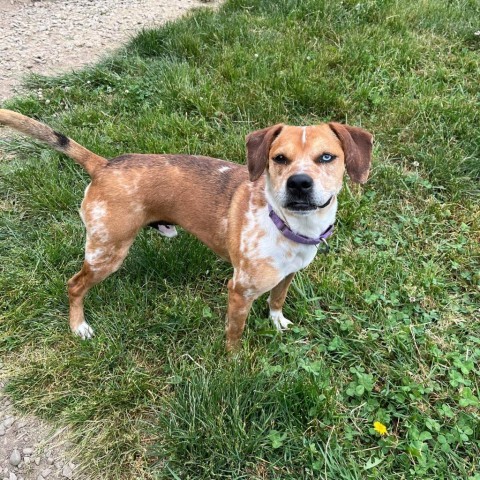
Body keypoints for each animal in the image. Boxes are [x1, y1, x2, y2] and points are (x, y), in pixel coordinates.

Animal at [0, 109, 374, 348]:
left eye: (327, 157)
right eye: (278, 158)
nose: (299, 183)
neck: (287, 225)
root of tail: (104, 165)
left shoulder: (288, 275)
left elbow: (277, 299)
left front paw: (277, 321)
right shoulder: (239, 291)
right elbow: (234, 334)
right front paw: (234, 364)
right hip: (107, 252)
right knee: (75, 285)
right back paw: (79, 326)